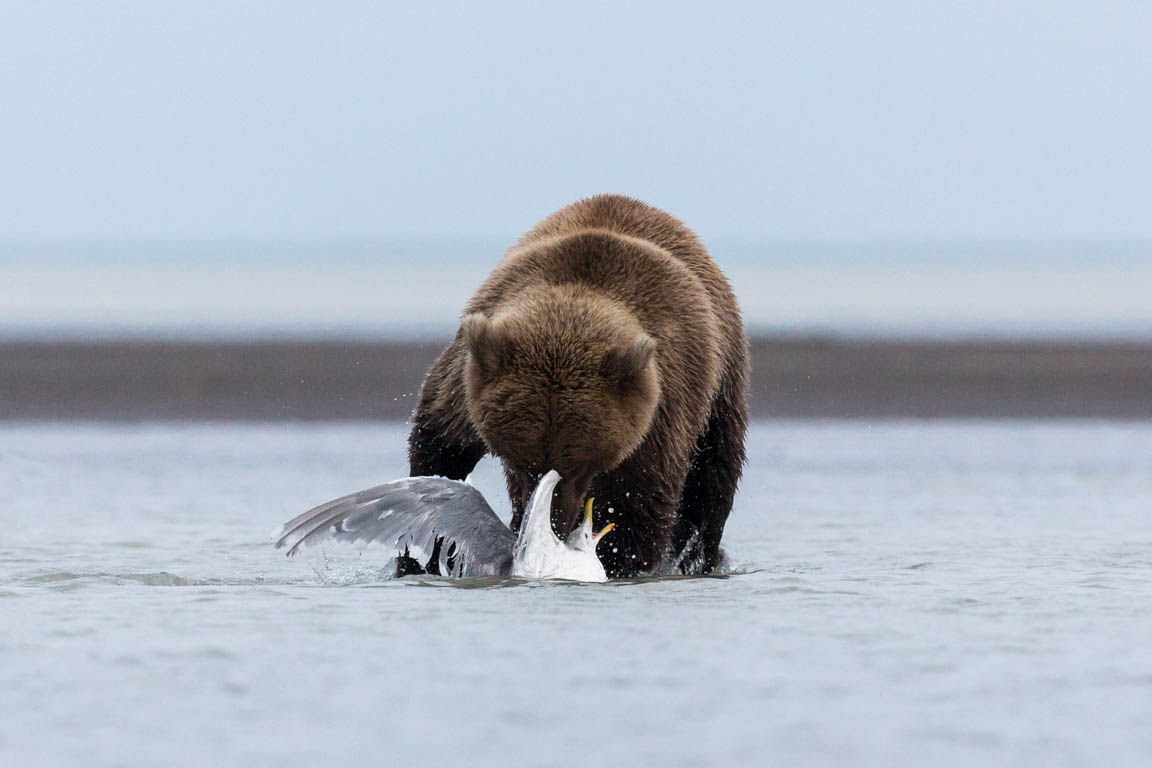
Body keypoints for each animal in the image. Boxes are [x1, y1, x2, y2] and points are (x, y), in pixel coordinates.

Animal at [405, 193, 746, 575]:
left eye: (579, 464)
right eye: (520, 460)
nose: (553, 523)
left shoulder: (662, 411)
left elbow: (641, 506)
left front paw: (620, 562)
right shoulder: (468, 376)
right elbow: (440, 441)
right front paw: (417, 555)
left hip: (722, 388)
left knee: (713, 478)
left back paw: (702, 556)